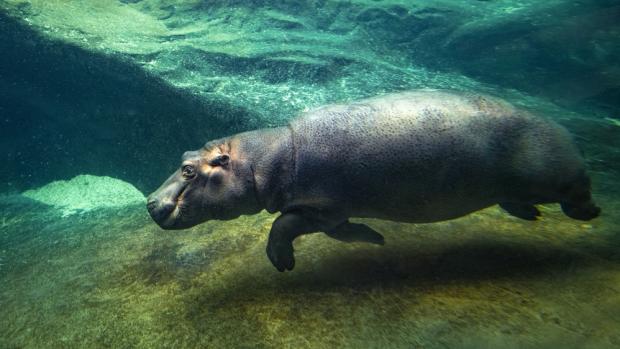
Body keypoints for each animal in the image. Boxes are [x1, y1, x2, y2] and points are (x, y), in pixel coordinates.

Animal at [145, 89, 600, 272]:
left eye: (189, 170)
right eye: (183, 157)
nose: (149, 202)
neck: (267, 157)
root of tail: (563, 128)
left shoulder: (321, 208)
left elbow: (281, 225)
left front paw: (282, 263)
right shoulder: (332, 214)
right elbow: (343, 231)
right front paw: (375, 239)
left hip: (559, 176)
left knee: (578, 191)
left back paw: (588, 212)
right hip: (511, 187)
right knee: (518, 200)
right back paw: (529, 215)